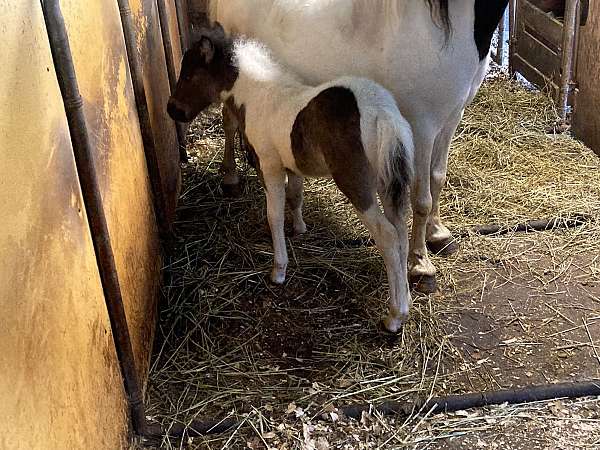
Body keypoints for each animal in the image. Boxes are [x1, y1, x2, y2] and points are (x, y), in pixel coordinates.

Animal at [200, 0, 506, 294]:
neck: (440, 30)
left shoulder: (451, 119)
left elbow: (437, 178)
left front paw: (438, 234)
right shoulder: (423, 127)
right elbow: (421, 198)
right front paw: (421, 266)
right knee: (229, 122)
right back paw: (230, 178)